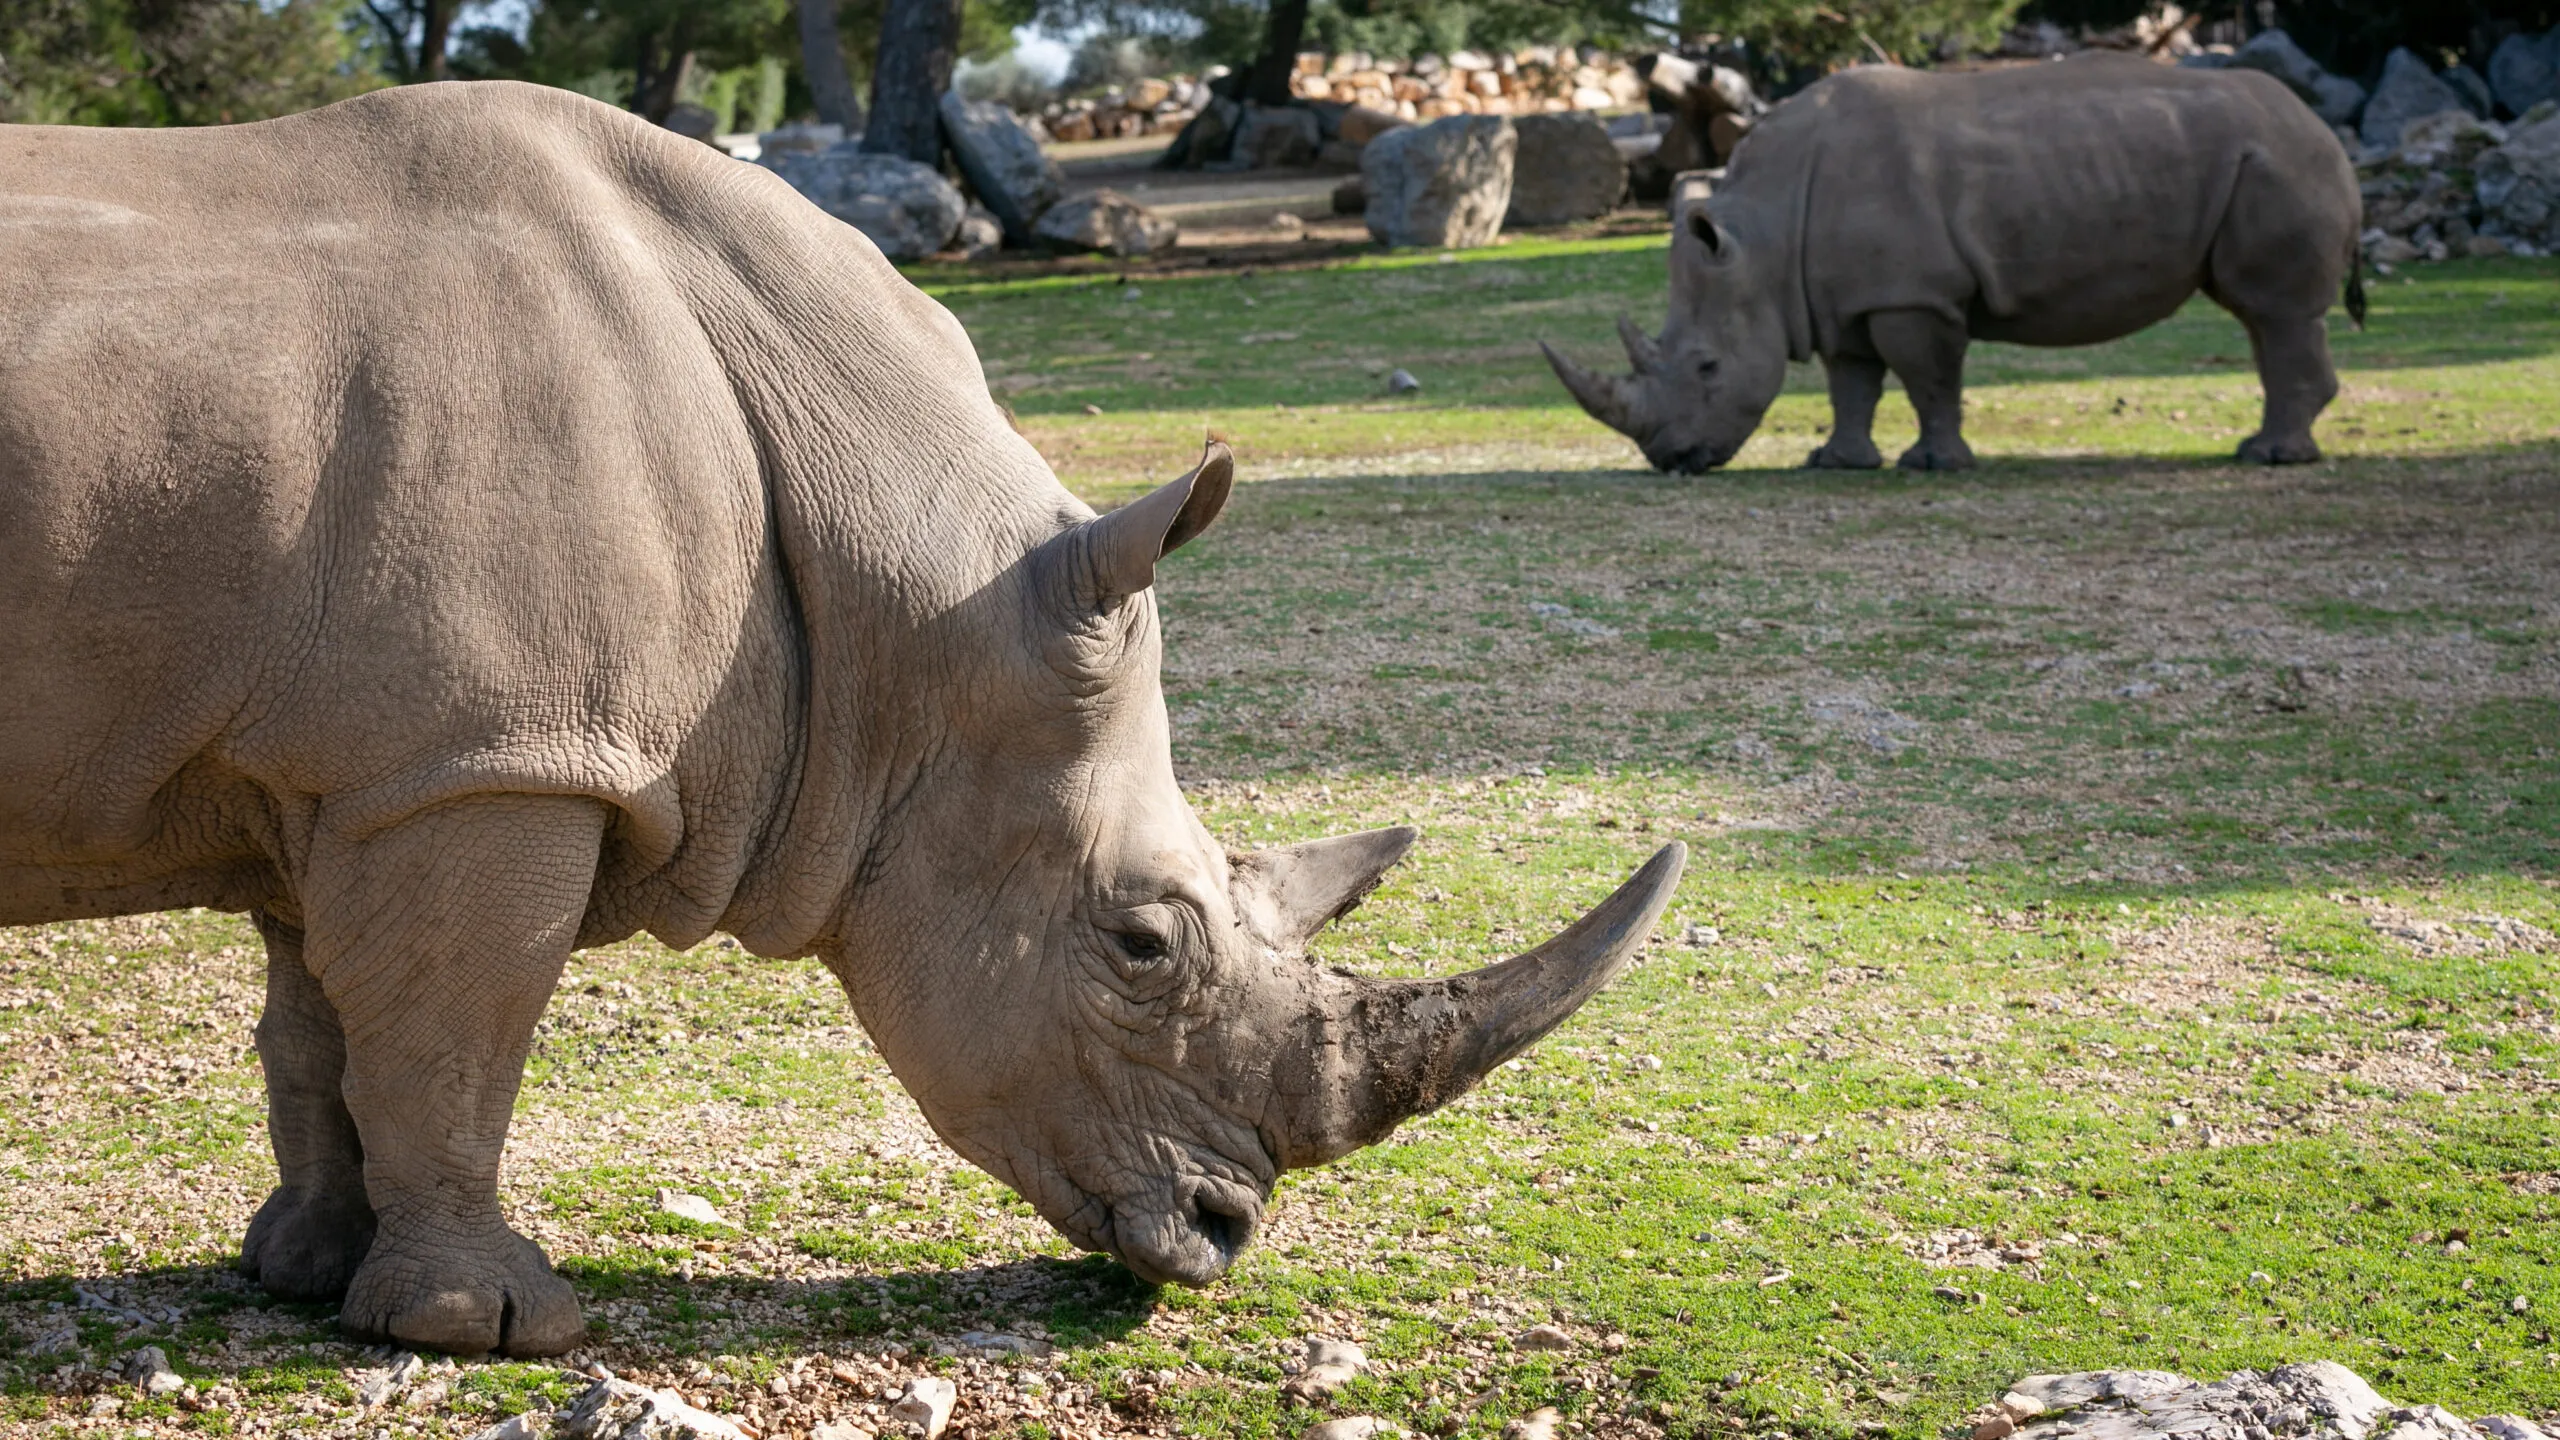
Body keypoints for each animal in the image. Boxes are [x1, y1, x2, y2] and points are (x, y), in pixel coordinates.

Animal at [0, 83, 1684, 1356]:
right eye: (1142, 944)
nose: (1223, 1232)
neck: (901, 596)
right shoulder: (492, 763)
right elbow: (456, 1030)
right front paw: (494, 1327)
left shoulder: (377, 761)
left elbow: (326, 1028)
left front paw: (306, 1272)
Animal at [1544, 54, 2365, 473]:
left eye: (1708, 366)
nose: (1671, 459)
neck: (1765, 237)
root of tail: (2323, 128)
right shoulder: (1842, 296)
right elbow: (1852, 383)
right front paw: (1836, 462)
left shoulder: (1912, 293)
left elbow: (1926, 378)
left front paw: (1934, 465)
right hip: (2259, 163)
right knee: (2260, 315)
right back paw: (2264, 448)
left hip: (2278, 164)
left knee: (2275, 310)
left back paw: (2273, 459)